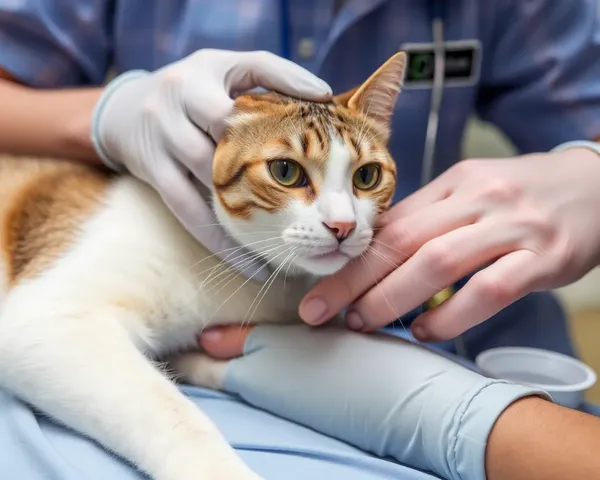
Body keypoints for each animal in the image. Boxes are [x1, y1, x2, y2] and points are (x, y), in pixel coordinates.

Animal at [0, 50, 408, 478]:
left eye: (367, 176)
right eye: (285, 171)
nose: (343, 226)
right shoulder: (50, 318)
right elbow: (171, 412)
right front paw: (219, 468)